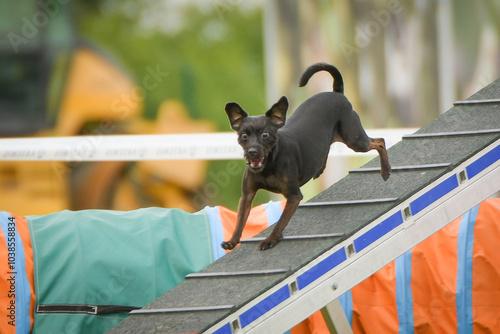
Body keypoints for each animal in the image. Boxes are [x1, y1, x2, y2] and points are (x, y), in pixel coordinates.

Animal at [223, 62, 390, 250]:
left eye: (265, 135)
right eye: (243, 136)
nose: (252, 151)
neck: (269, 165)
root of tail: (337, 94)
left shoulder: (294, 196)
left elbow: (281, 221)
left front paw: (271, 239)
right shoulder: (247, 195)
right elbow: (240, 221)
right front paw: (232, 241)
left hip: (355, 140)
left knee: (380, 141)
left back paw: (385, 171)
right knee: (326, 150)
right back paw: (319, 169)